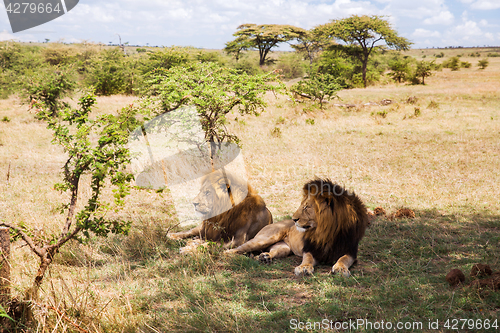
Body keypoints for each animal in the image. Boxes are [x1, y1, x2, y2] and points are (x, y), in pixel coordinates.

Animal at [227, 178, 368, 276]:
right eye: (303, 206)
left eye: (306, 207)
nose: (294, 219)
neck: (327, 232)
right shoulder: (310, 249)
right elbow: (308, 258)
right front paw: (304, 268)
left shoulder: (350, 251)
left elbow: (343, 259)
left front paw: (340, 268)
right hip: (264, 239)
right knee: (235, 249)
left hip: (283, 248)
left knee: (272, 251)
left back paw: (264, 257)